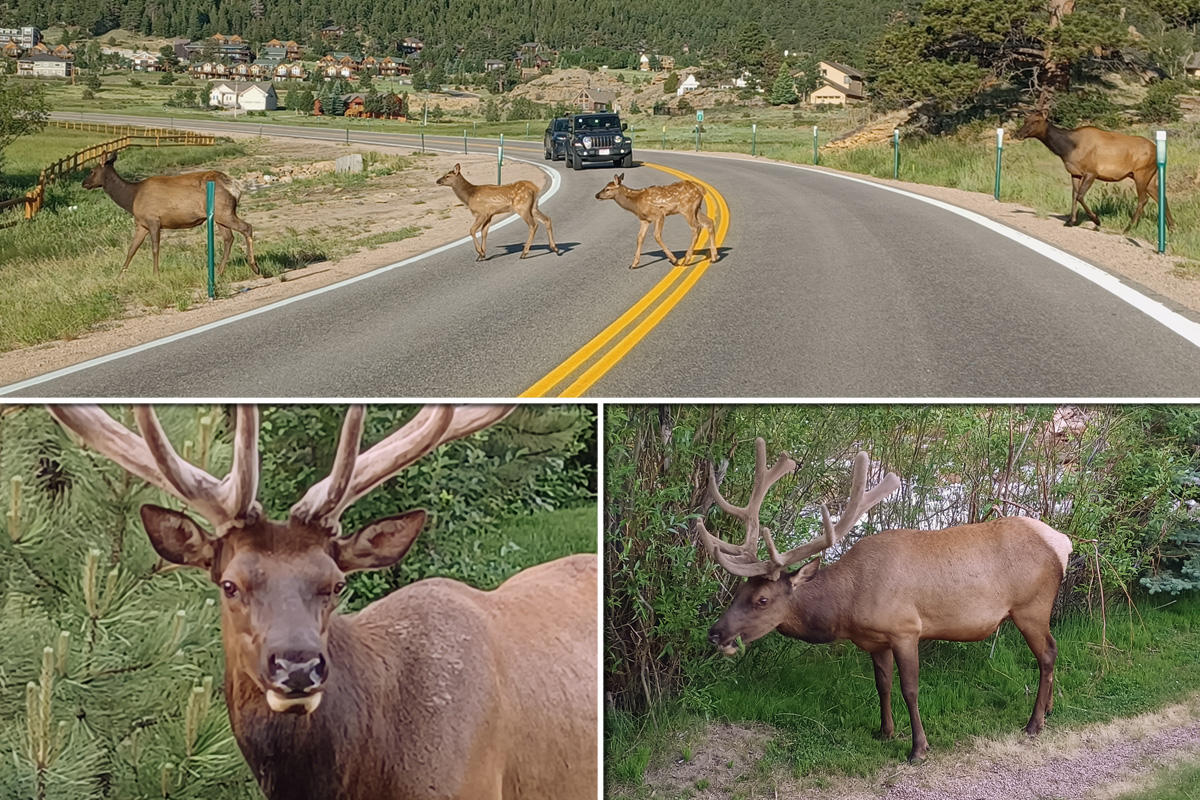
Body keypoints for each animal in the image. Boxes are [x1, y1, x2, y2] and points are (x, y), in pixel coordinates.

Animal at [85, 152, 262, 278]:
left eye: (92, 171)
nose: (83, 183)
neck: (131, 198)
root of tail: (235, 187)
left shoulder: (153, 220)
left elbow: (155, 248)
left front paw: (156, 274)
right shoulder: (141, 224)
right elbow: (131, 249)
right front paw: (119, 276)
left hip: (224, 212)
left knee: (247, 227)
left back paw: (254, 266)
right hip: (220, 216)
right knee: (228, 238)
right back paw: (219, 270)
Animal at [700, 443, 1075, 762]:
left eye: (762, 599)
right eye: (739, 592)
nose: (715, 633)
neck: (849, 604)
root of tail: (1063, 543)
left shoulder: (905, 629)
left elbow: (910, 689)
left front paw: (918, 748)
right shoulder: (874, 640)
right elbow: (883, 685)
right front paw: (885, 731)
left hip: (1031, 606)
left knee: (1046, 654)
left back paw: (1034, 724)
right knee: (1053, 649)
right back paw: (1050, 710)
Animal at [1012, 108, 1171, 231]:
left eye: (1036, 121)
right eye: (1026, 120)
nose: (1018, 134)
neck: (1065, 149)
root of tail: (1157, 150)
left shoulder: (1091, 172)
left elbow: (1080, 196)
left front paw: (1096, 220)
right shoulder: (1075, 173)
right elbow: (1074, 195)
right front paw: (1071, 221)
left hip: (1141, 173)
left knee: (1143, 199)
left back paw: (1129, 227)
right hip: (1149, 177)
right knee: (1161, 196)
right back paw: (1172, 227)